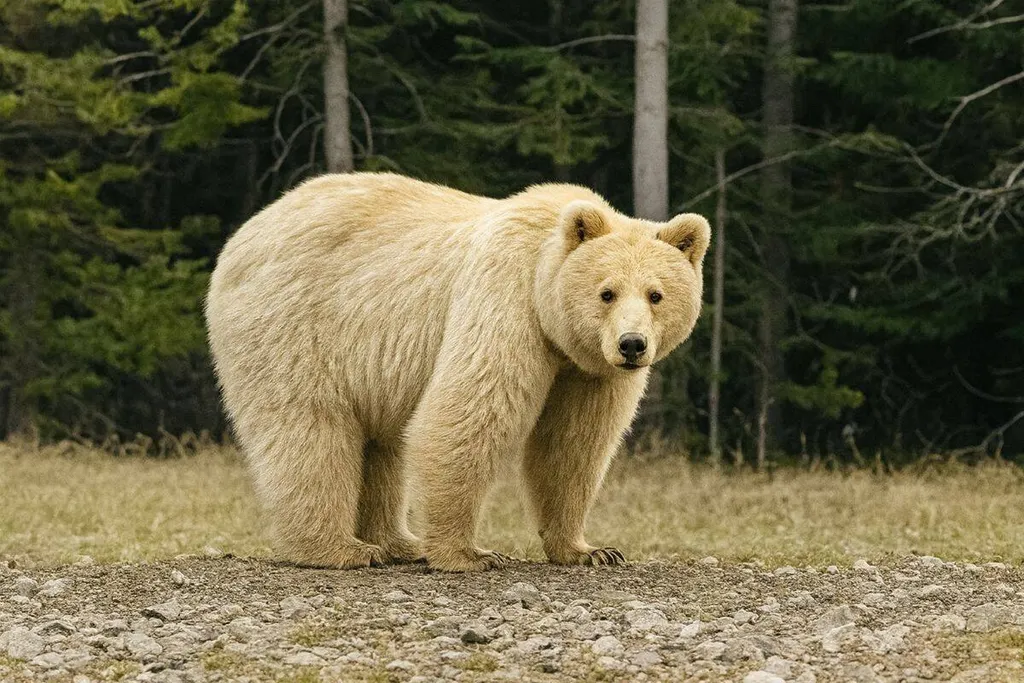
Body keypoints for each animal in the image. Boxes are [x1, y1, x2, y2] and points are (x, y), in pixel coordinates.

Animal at [205, 172, 710, 572]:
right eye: (607, 292)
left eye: (656, 294)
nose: (632, 345)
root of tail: (245, 232)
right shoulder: (505, 299)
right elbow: (469, 413)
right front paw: (470, 554)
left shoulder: (586, 371)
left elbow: (573, 444)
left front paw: (590, 550)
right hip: (294, 325)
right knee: (309, 429)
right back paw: (342, 549)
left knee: (381, 444)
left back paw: (397, 542)